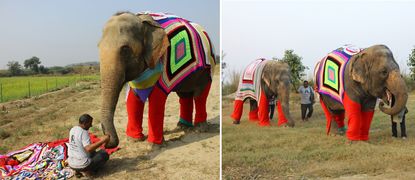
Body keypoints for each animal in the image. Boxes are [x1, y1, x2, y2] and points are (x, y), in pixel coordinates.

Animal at [100, 12, 218, 148]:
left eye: (125, 49)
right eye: (98, 46)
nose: (106, 140)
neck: (141, 19)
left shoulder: (163, 60)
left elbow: (157, 98)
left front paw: (154, 145)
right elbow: (133, 98)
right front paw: (134, 140)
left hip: (208, 69)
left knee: (200, 95)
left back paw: (199, 129)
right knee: (184, 95)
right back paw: (183, 127)